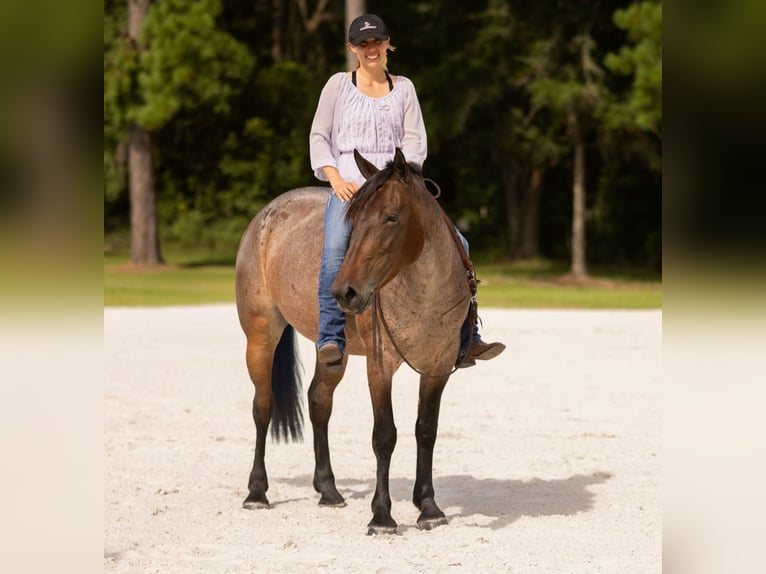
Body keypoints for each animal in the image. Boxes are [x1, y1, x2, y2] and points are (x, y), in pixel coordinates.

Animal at [235, 148, 474, 534]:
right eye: (354, 219)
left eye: (392, 217)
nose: (345, 292)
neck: (424, 291)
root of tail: (265, 217)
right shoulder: (380, 367)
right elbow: (384, 435)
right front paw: (382, 515)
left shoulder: (437, 368)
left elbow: (426, 430)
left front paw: (428, 507)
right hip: (260, 335)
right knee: (263, 406)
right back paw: (257, 492)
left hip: (333, 354)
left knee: (319, 401)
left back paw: (328, 489)